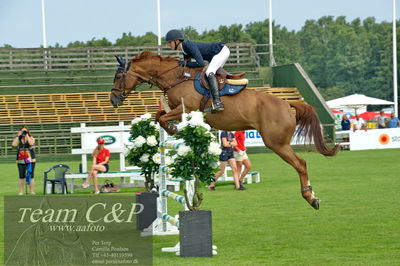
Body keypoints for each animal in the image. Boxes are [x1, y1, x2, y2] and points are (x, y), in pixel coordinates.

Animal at [111, 51, 340, 209]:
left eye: (119, 77)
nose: (113, 100)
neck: (177, 77)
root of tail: (286, 103)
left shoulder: (187, 109)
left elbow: (162, 117)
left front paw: (174, 129)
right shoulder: (178, 109)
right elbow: (159, 116)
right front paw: (173, 129)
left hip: (276, 143)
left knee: (300, 164)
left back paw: (311, 197)